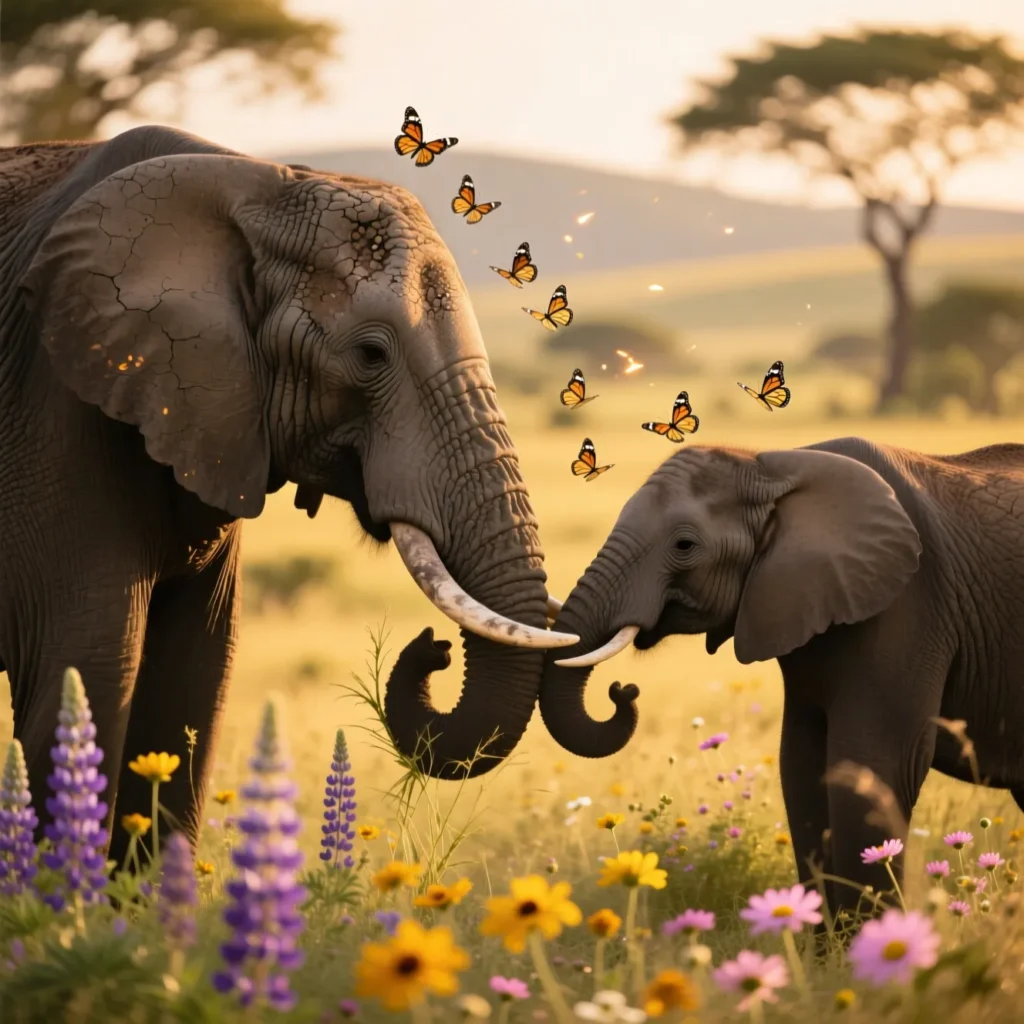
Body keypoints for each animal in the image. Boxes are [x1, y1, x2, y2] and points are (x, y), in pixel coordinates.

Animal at [0, 124, 576, 864]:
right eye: (370, 355)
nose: (432, 648)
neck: (257, 182)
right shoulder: (61, 414)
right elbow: (90, 669)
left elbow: (196, 675)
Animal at [538, 435, 1024, 919]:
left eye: (684, 545)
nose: (623, 690)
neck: (770, 466)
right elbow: (800, 765)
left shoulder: (909, 605)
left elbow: (873, 767)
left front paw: (872, 939)